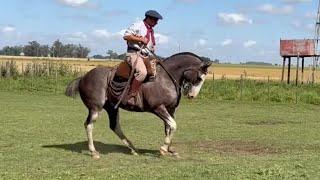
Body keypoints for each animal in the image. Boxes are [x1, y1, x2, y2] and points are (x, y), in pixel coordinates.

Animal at [65, 52, 211, 159]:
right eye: (199, 78)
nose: (192, 96)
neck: (165, 78)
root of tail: (83, 77)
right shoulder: (158, 108)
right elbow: (173, 125)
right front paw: (163, 149)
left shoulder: (170, 110)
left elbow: (169, 128)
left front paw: (169, 150)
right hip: (95, 108)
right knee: (89, 125)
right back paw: (93, 152)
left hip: (112, 108)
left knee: (114, 126)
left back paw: (133, 149)